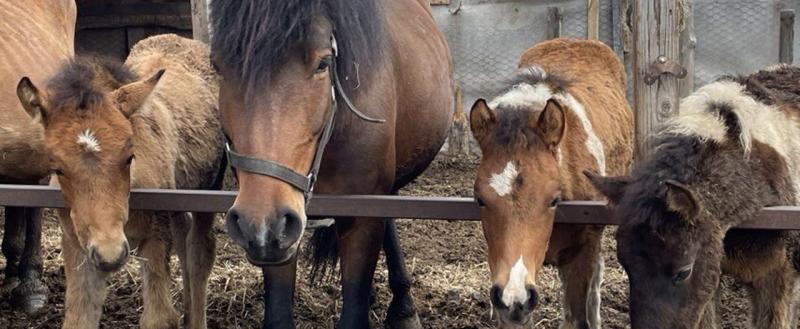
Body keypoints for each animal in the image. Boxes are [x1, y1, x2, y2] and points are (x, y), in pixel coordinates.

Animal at [14, 34, 225, 326]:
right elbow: (79, 317)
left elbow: (159, 318)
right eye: (57, 167)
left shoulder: (155, 236)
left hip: (210, 187)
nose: (111, 253)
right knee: (183, 232)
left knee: (199, 251)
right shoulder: (78, 244)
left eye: (129, 156)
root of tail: (182, 38)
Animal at [209, 0, 454, 328]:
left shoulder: (362, 215)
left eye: (323, 63)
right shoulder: (279, 237)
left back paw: (403, 308)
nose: (258, 225)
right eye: (217, 67)